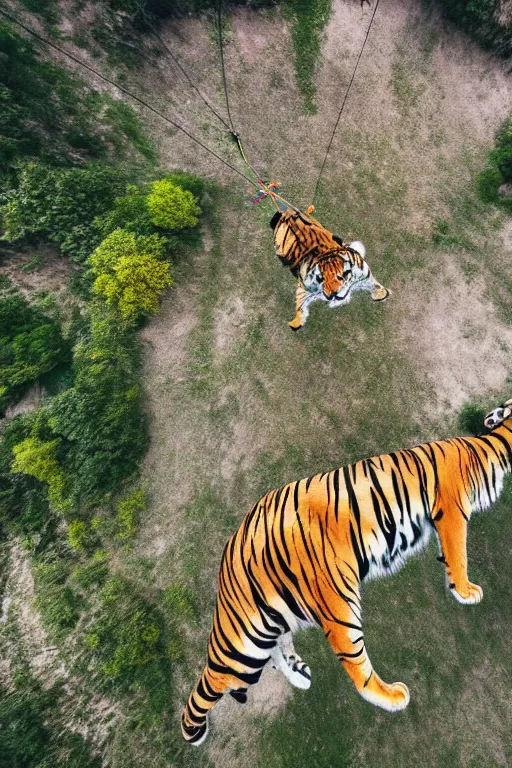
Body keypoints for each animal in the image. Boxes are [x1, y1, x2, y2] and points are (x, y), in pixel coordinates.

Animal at [182, 400, 512, 748]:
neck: (493, 445)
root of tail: (230, 555)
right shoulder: (451, 510)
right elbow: (458, 553)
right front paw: (466, 591)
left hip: (267, 629)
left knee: (274, 653)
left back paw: (300, 676)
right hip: (321, 610)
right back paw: (393, 696)